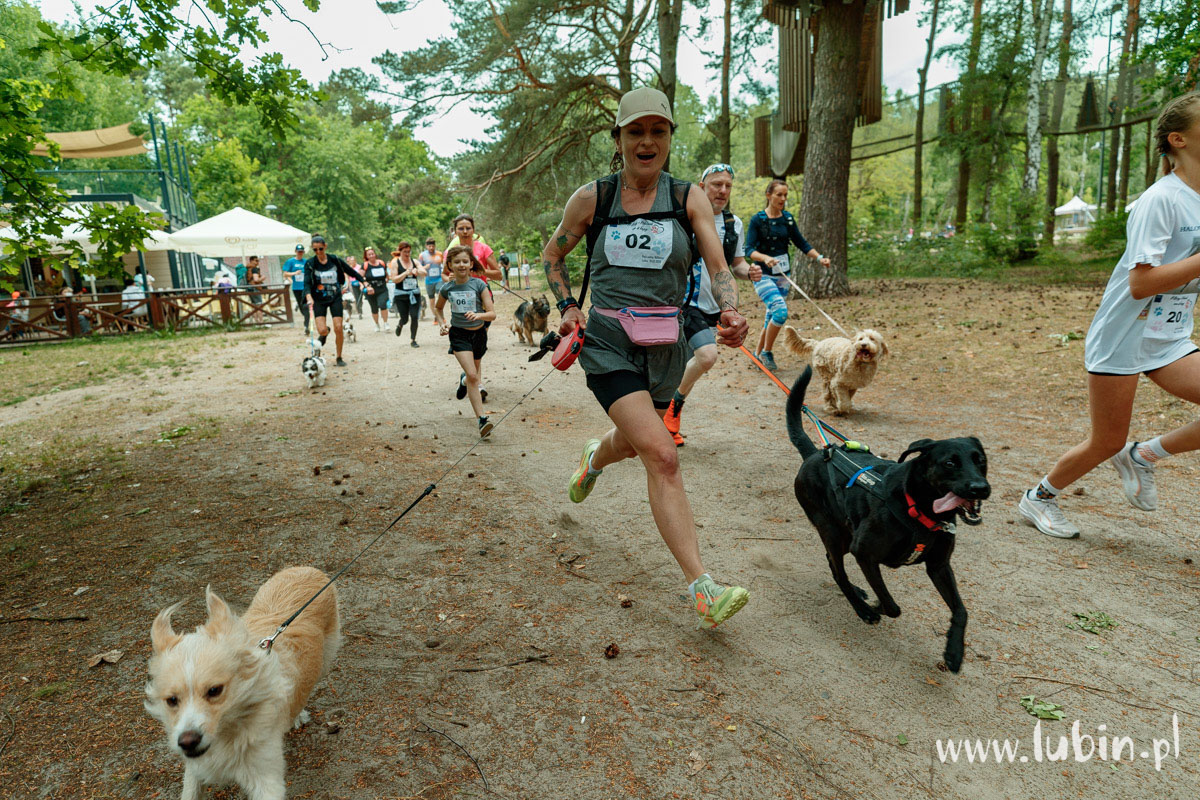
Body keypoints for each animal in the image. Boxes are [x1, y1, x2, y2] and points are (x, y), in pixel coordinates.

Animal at [148, 568, 343, 800]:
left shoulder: (266, 777)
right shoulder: (195, 769)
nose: (187, 742)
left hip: (325, 658)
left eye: (214, 691)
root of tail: (307, 569)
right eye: (171, 700)